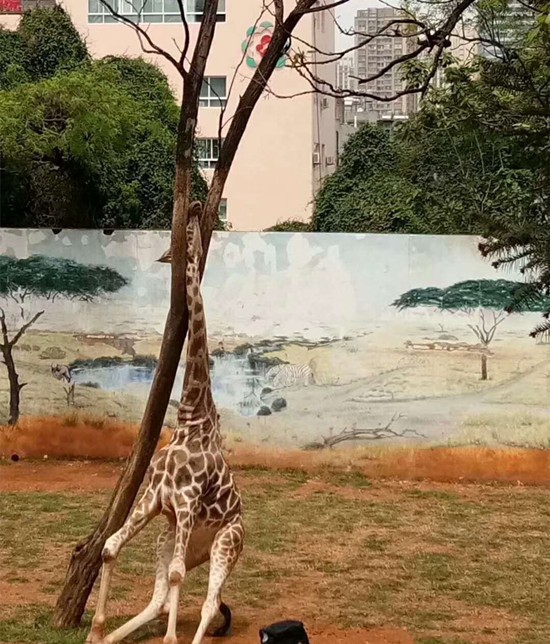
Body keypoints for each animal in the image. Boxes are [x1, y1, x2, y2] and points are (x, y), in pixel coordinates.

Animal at [85, 201, 245, 644]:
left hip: (226, 543)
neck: (191, 419)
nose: (167, 256)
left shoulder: (187, 503)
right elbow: (110, 546)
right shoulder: (156, 499)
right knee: (159, 598)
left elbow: (175, 579)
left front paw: (171, 640)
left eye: (181, 241)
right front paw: (96, 630)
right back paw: (110, 636)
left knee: (206, 601)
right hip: (171, 537)